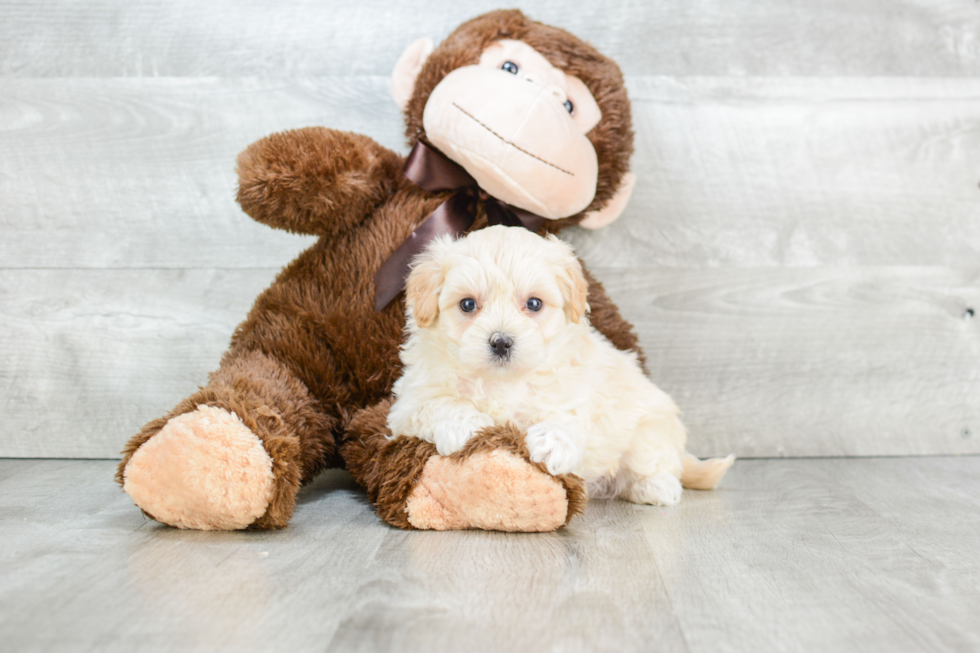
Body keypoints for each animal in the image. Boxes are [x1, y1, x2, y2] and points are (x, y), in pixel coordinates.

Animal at [386, 224, 732, 504]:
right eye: (468, 304)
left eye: (534, 304)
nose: (501, 342)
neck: (502, 381)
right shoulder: (411, 400)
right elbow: (440, 404)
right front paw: (469, 426)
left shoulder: (573, 390)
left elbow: (566, 416)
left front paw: (552, 442)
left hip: (648, 433)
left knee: (659, 463)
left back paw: (657, 487)